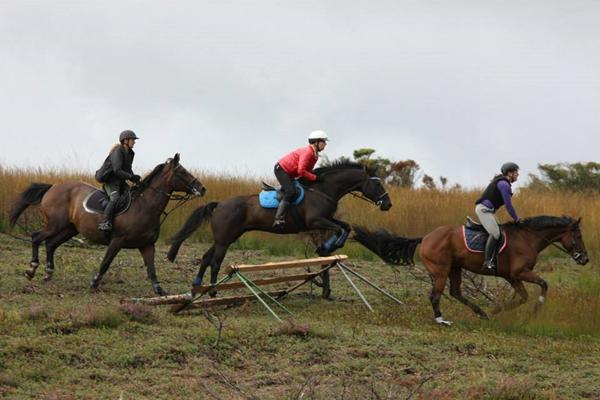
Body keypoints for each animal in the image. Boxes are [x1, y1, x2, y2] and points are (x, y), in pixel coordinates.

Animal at [8, 153, 206, 294]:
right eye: (182, 172)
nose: (202, 189)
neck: (144, 207)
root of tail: (53, 187)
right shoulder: (117, 241)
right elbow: (105, 263)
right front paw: (94, 283)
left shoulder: (147, 245)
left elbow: (151, 269)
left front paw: (159, 291)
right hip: (54, 225)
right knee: (36, 237)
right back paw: (31, 269)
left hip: (69, 229)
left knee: (50, 244)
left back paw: (48, 273)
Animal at [166, 161, 392, 292]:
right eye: (377, 184)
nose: (388, 204)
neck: (323, 190)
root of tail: (219, 204)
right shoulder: (315, 221)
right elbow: (338, 229)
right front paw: (328, 247)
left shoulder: (326, 218)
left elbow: (345, 226)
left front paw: (332, 246)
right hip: (224, 239)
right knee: (215, 261)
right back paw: (212, 291)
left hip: (228, 236)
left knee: (206, 257)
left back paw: (197, 285)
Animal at [354, 217, 588, 326]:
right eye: (578, 236)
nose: (585, 259)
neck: (528, 238)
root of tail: (425, 237)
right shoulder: (520, 273)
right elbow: (543, 285)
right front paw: (536, 309)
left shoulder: (512, 276)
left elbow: (522, 296)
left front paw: (498, 309)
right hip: (440, 271)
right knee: (435, 295)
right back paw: (441, 320)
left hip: (455, 268)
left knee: (455, 292)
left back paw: (482, 313)